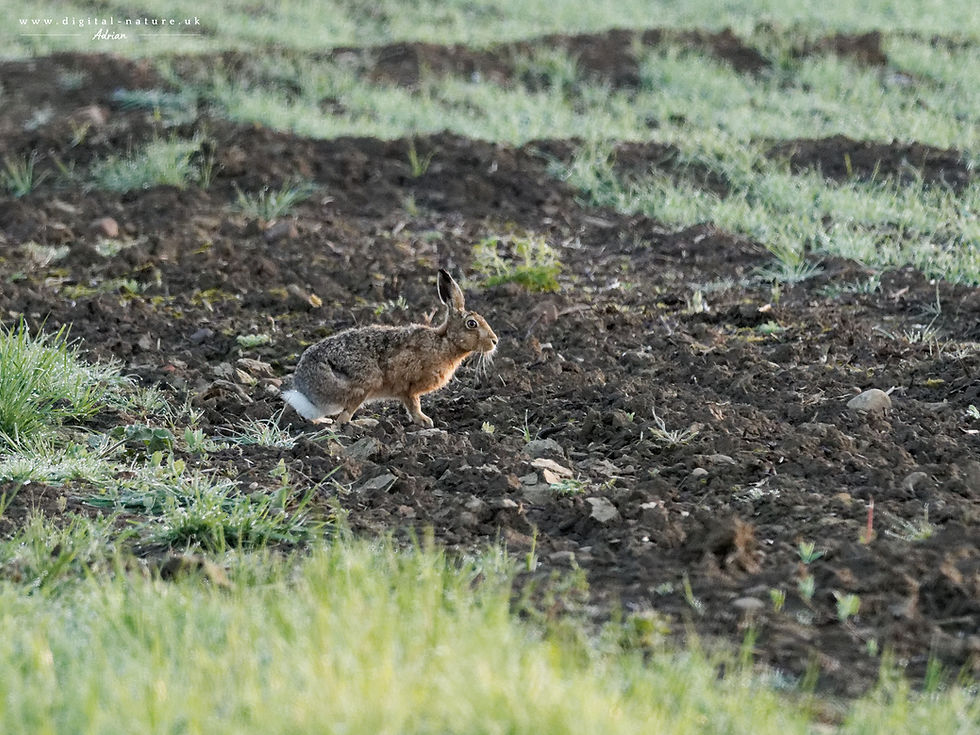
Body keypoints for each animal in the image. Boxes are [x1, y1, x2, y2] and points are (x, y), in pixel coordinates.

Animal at [283, 269, 498, 428]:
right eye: (471, 324)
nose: (495, 341)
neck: (445, 342)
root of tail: (307, 393)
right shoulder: (408, 386)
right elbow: (413, 404)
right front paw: (425, 421)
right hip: (363, 385)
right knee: (343, 421)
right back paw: (365, 423)